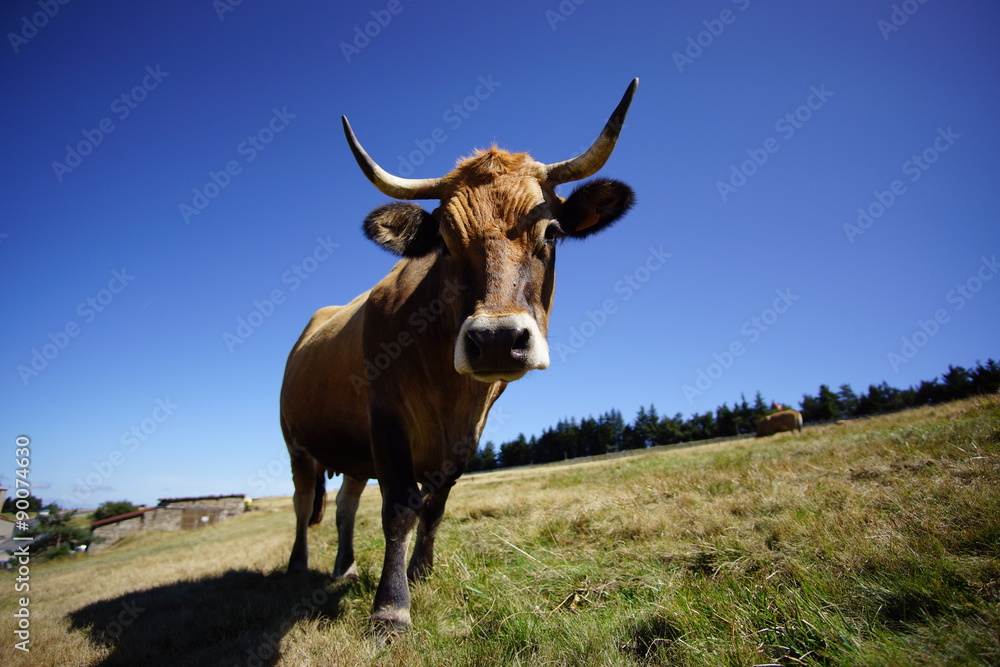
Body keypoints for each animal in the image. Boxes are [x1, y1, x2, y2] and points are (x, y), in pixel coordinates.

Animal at [278, 79, 640, 632]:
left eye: (552, 233)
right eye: (444, 242)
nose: (495, 339)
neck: (451, 388)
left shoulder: (466, 436)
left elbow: (434, 506)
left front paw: (420, 572)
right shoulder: (386, 418)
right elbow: (401, 508)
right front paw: (391, 608)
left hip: (354, 454)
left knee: (342, 507)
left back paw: (345, 566)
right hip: (298, 445)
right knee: (302, 505)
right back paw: (299, 566)